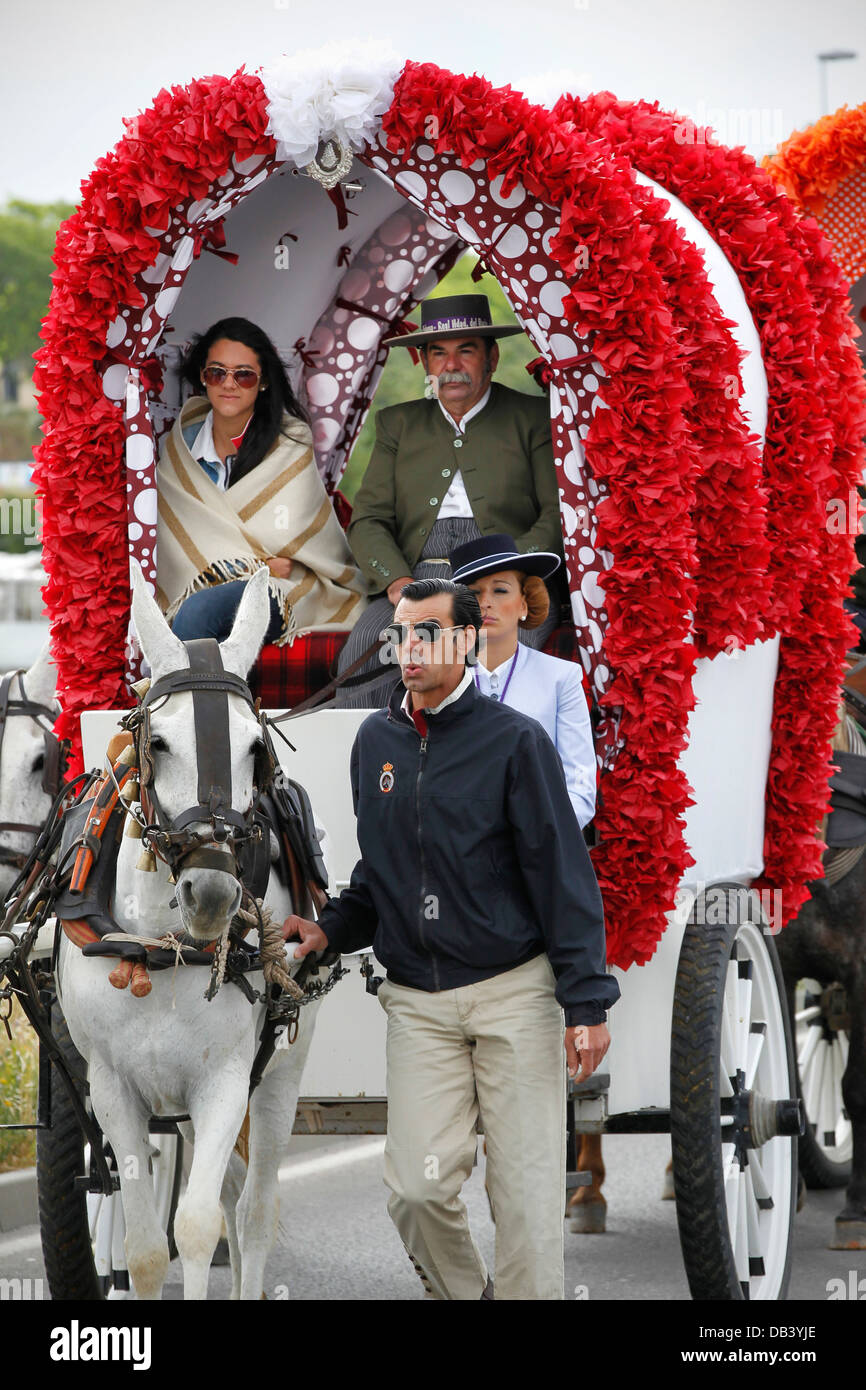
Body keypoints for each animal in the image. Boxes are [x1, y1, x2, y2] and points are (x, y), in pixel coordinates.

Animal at [57, 567, 322, 1301]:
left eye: (256, 748)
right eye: (160, 743)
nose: (211, 892)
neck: (162, 944)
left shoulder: (226, 1080)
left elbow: (200, 1227)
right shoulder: (112, 1086)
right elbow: (147, 1249)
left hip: (281, 1077)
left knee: (253, 1211)